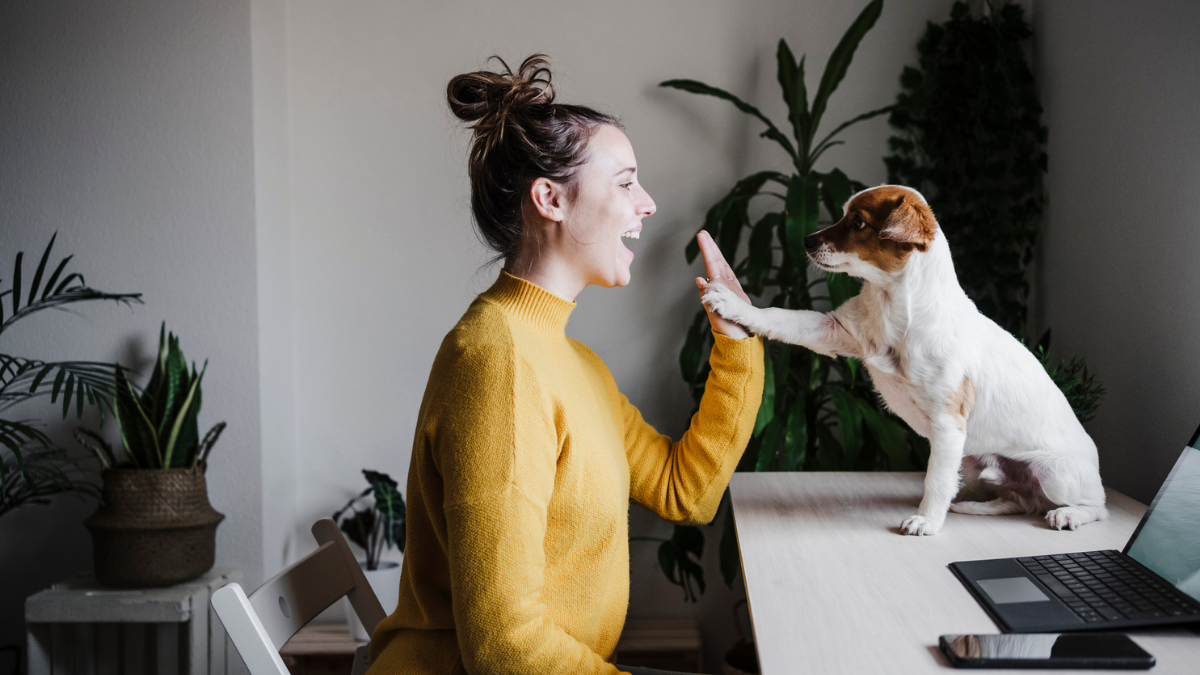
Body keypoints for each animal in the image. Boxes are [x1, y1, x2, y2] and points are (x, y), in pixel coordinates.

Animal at [700, 184, 1104, 535]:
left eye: (858, 223)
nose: (806, 240)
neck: (891, 305)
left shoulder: (947, 426)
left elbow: (935, 480)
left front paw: (927, 521)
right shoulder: (833, 331)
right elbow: (777, 317)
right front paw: (732, 303)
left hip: (1052, 474)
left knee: (1095, 508)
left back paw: (1068, 514)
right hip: (974, 460)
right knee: (1017, 500)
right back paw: (975, 506)